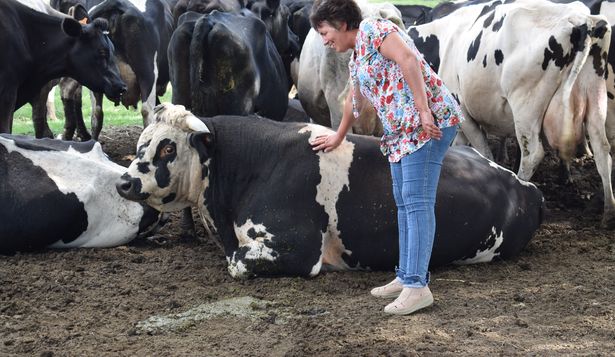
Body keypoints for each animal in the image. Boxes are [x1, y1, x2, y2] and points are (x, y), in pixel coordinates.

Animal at [115, 103, 544, 278]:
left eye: (168, 147)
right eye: (142, 142)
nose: (124, 181)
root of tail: (524, 184)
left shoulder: (297, 249)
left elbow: (236, 262)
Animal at [410, 0, 615, 228]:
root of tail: (582, 20)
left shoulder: (461, 108)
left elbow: (483, 151)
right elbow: (460, 147)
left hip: (525, 107)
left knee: (533, 154)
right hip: (595, 98)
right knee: (602, 150)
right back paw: (608, 212)